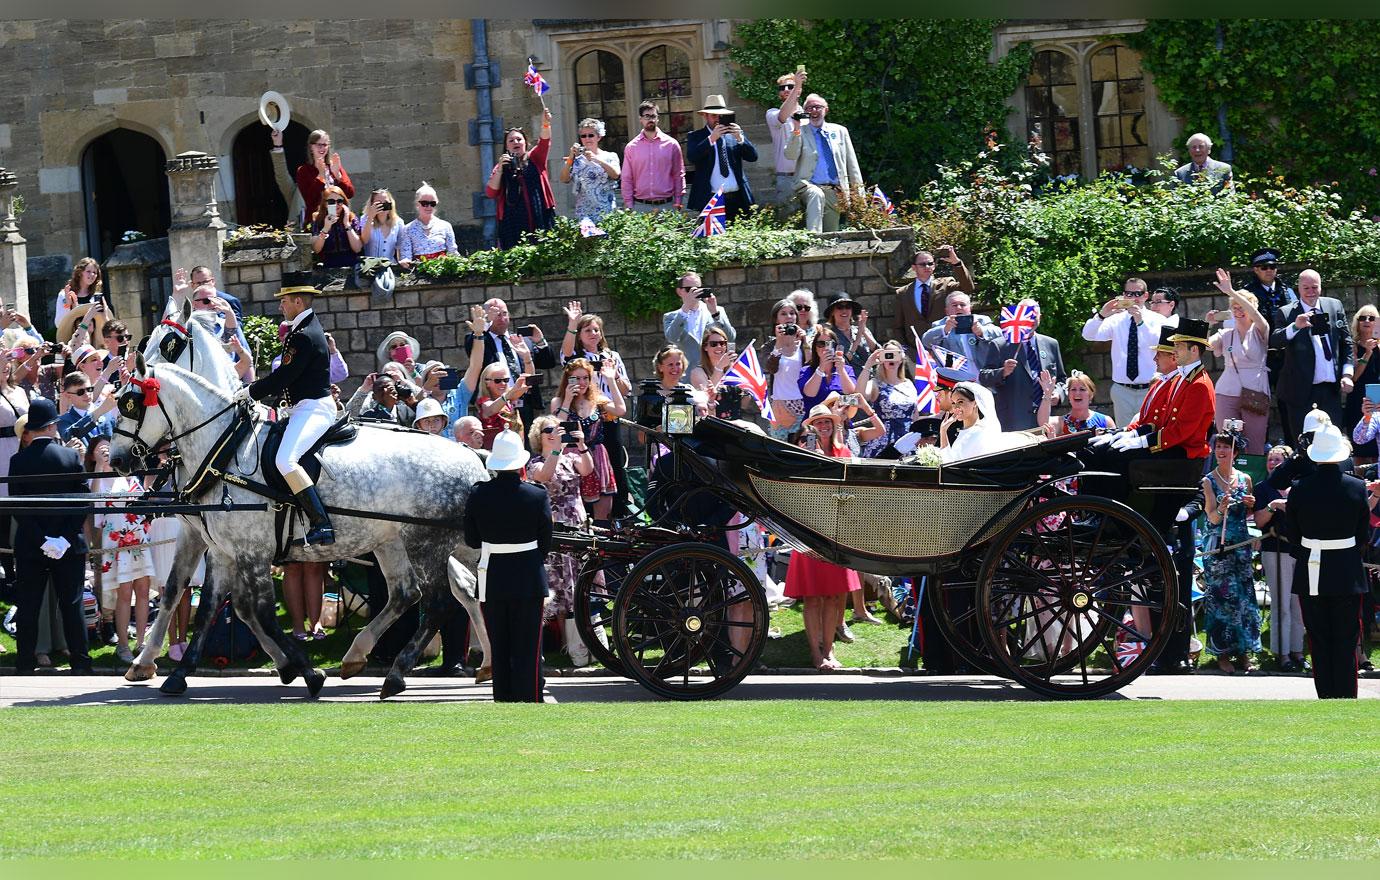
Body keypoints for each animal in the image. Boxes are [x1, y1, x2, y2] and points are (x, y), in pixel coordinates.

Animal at [113, 328, 491, 700]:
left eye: (130, 404)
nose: (117, 459)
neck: (227, 449)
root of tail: (469, 456)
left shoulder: (251, 550)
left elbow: (261, 611)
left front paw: (308, 672)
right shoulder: (222, 550)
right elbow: (208, 606)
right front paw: (177, 675)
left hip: (426, 543)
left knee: (441, 601)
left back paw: (400, 672)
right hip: (396, 541)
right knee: (413, 592)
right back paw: (365, 656)